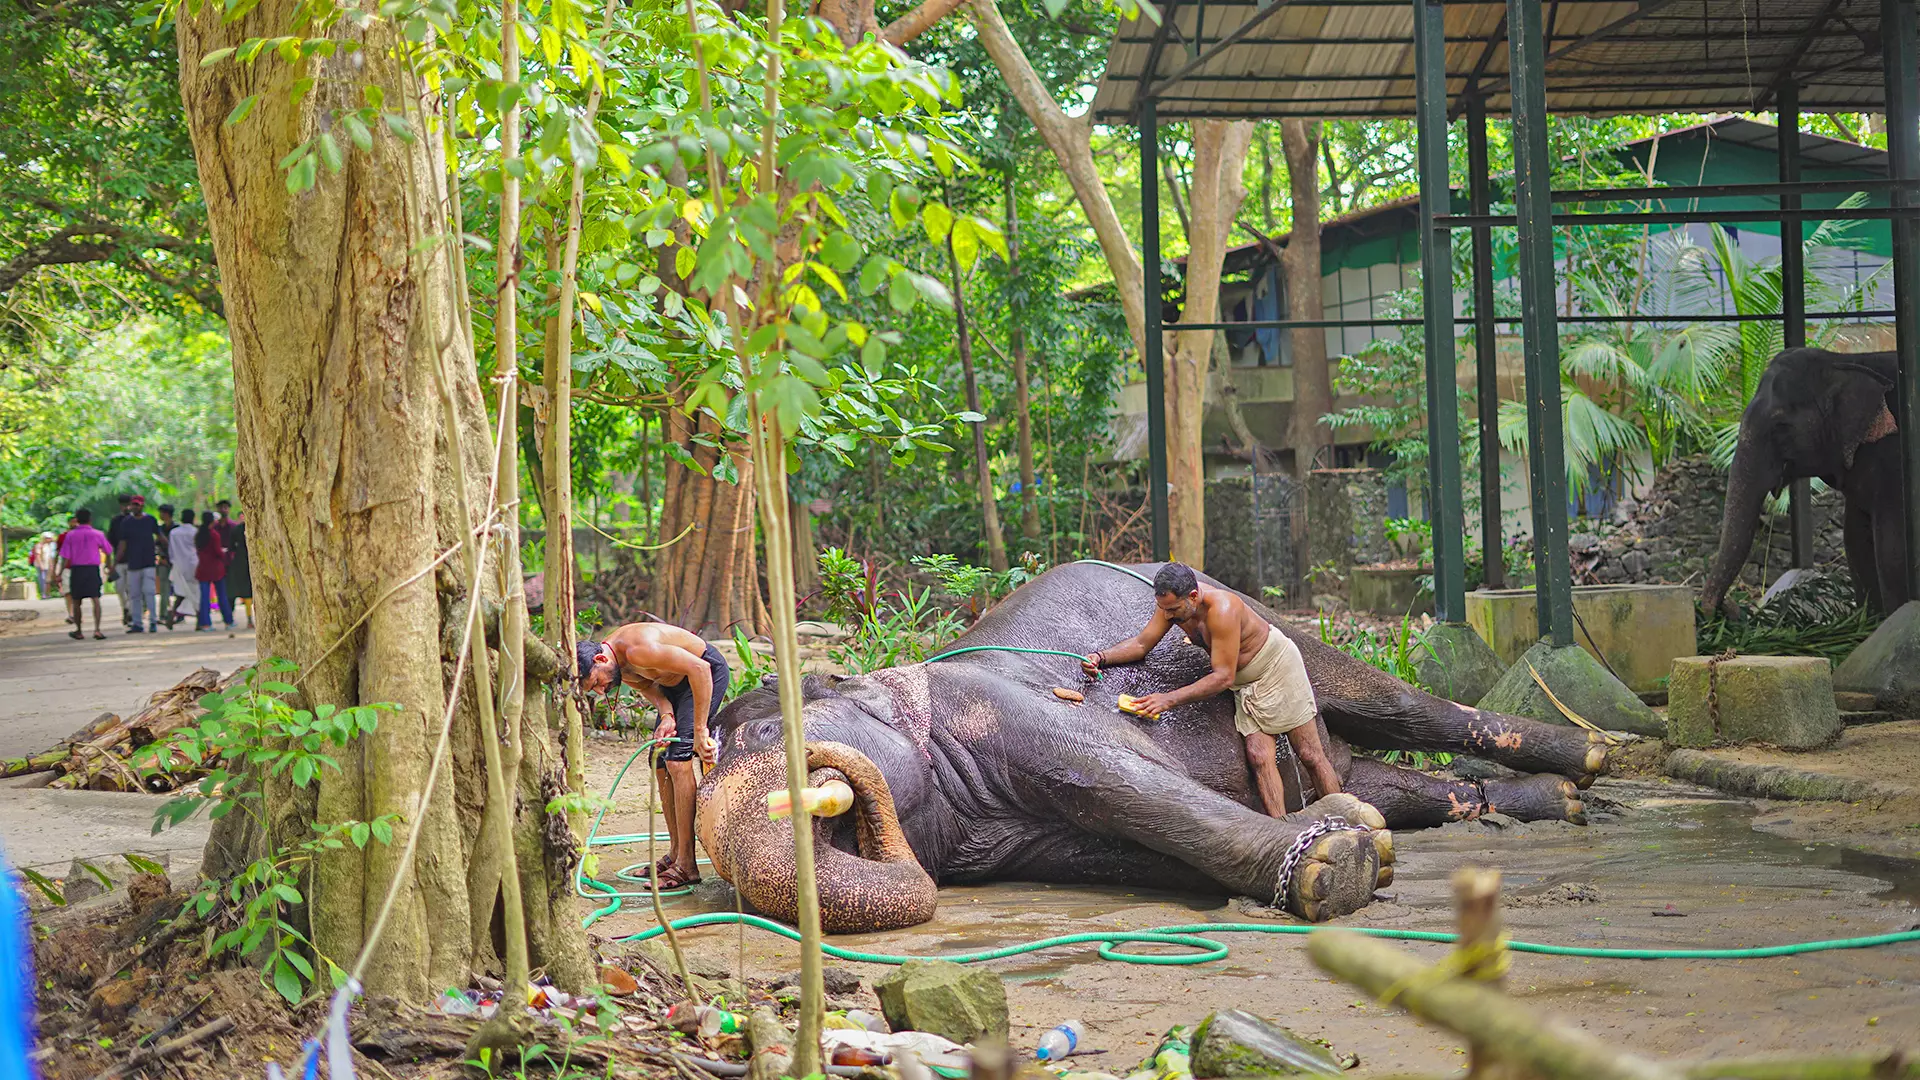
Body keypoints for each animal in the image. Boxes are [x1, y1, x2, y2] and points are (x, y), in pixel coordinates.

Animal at [698, 557, 1612, 930]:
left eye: (772, 730)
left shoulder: (1008, 711)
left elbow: (1128, 783)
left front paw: (1334, 866)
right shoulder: (1010, 839)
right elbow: (1127, 849)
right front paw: (1361, 843)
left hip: (1282, 633)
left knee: (1402, 709)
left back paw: (1589, 758)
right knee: (1400, 781)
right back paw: (1531, 803)